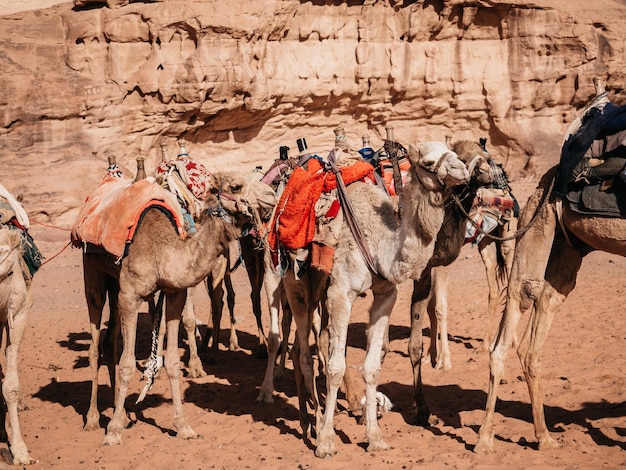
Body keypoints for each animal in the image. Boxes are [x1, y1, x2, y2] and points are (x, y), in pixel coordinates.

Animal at [472, 82, 624, 454]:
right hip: (535, 233)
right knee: (511, 324)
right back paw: (485, 439)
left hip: (566, 248)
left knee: (534, 332)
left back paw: (544, 436)